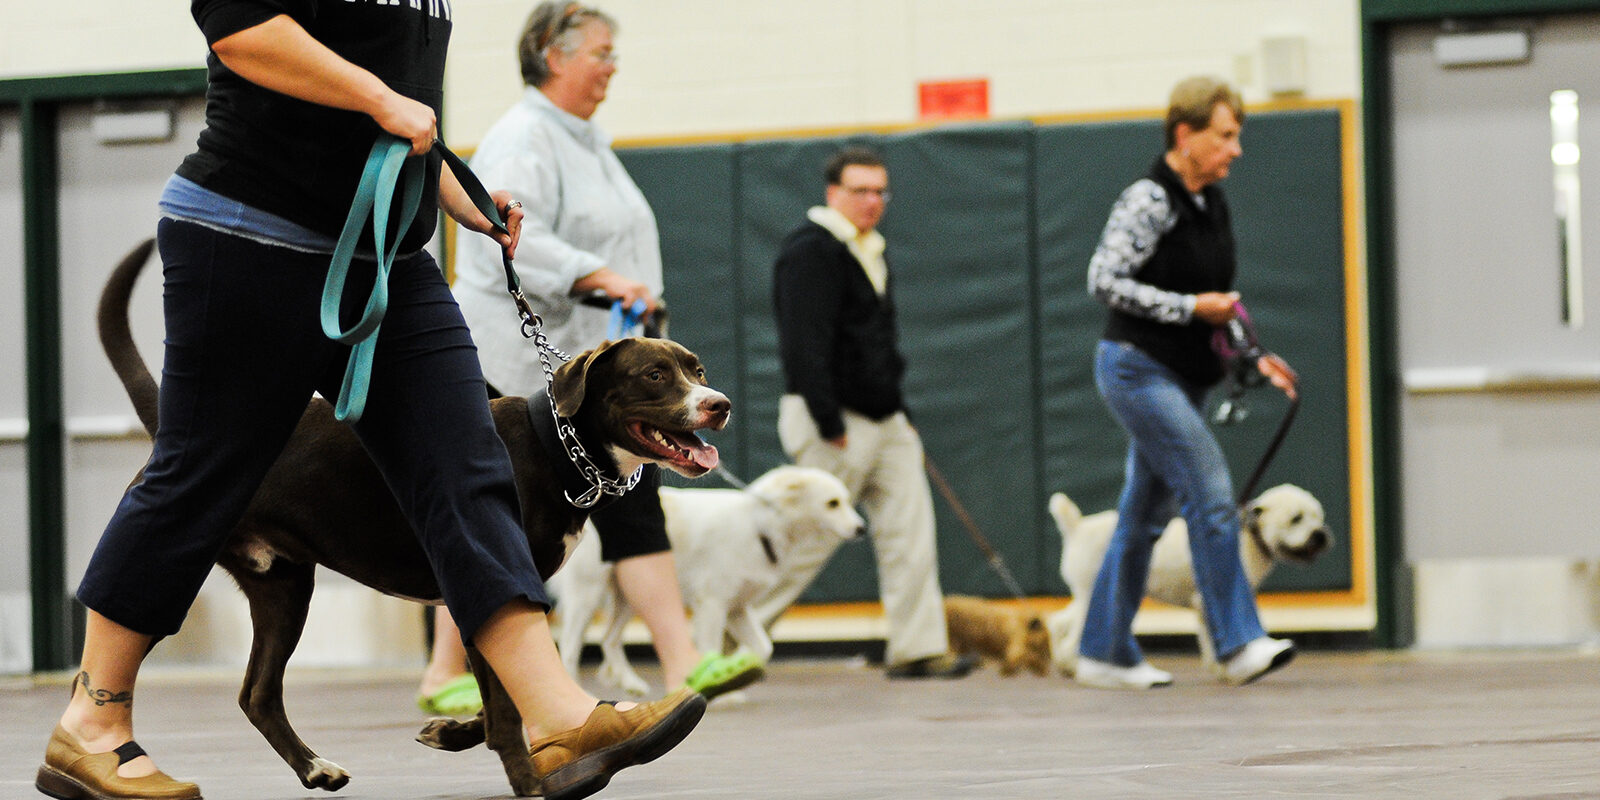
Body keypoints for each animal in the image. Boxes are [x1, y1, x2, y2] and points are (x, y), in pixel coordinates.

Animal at [550, 467, 864, 697]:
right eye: (832, 504)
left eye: (847, 501)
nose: (861, 529)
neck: (759, 526)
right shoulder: (713, 605)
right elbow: (711, 645)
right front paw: (719, 686)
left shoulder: (737, 608)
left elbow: (763, 647)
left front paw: (739, 671)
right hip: (587, 595)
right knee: (569, 647)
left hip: (631, 594)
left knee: (609, 640)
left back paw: (629, 683)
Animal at [1043, 483, 1331, 678]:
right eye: (1296, 518)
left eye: (1317, 516)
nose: (1320, 535)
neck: (1249, 537)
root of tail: (1077, 527)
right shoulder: (1209, 601)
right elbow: (1212, 639)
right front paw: (1225, 667)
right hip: (1093, 595)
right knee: (1072, 636)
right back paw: (1075, 666)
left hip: (1084, 594)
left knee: (1058, 623)